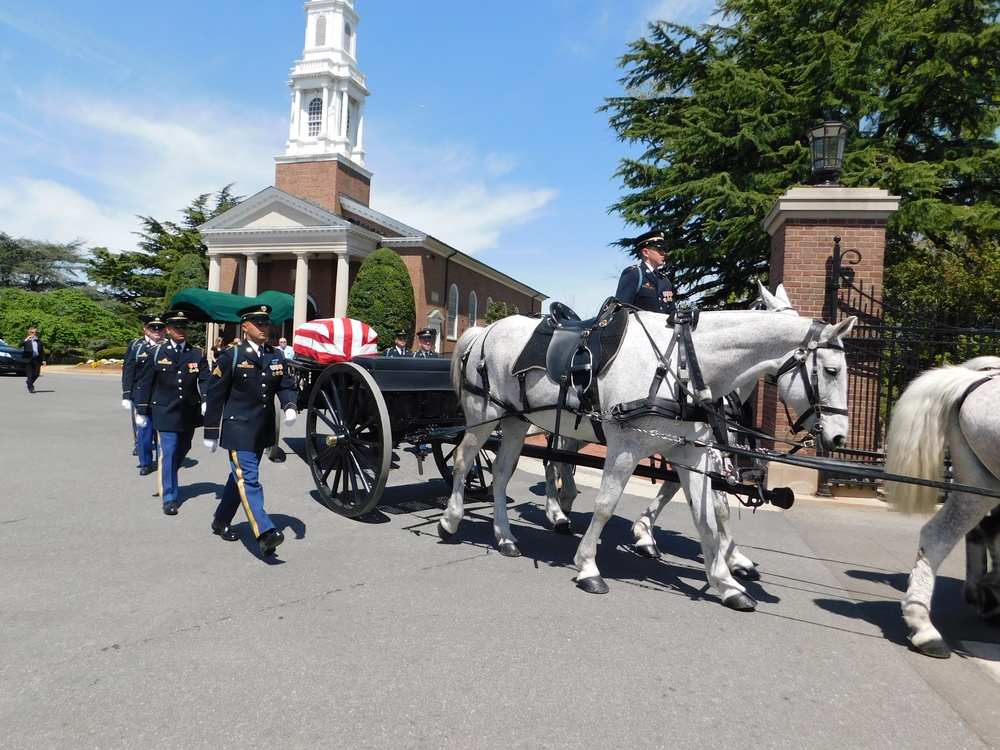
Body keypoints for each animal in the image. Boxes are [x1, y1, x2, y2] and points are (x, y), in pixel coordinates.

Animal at [438, 306, 852, 612]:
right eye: (832, 370)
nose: (838, 437)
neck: (682, 363)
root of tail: (484, 331)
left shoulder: (692, 452)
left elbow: (706, 516)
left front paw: (725, 581)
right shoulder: (625, 447)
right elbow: (606, 505)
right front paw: (588, 566)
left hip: (515, 423)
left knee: (504, 472)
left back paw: (506, 536)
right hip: (484, 416)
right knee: (463, 461)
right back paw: (451, 520)